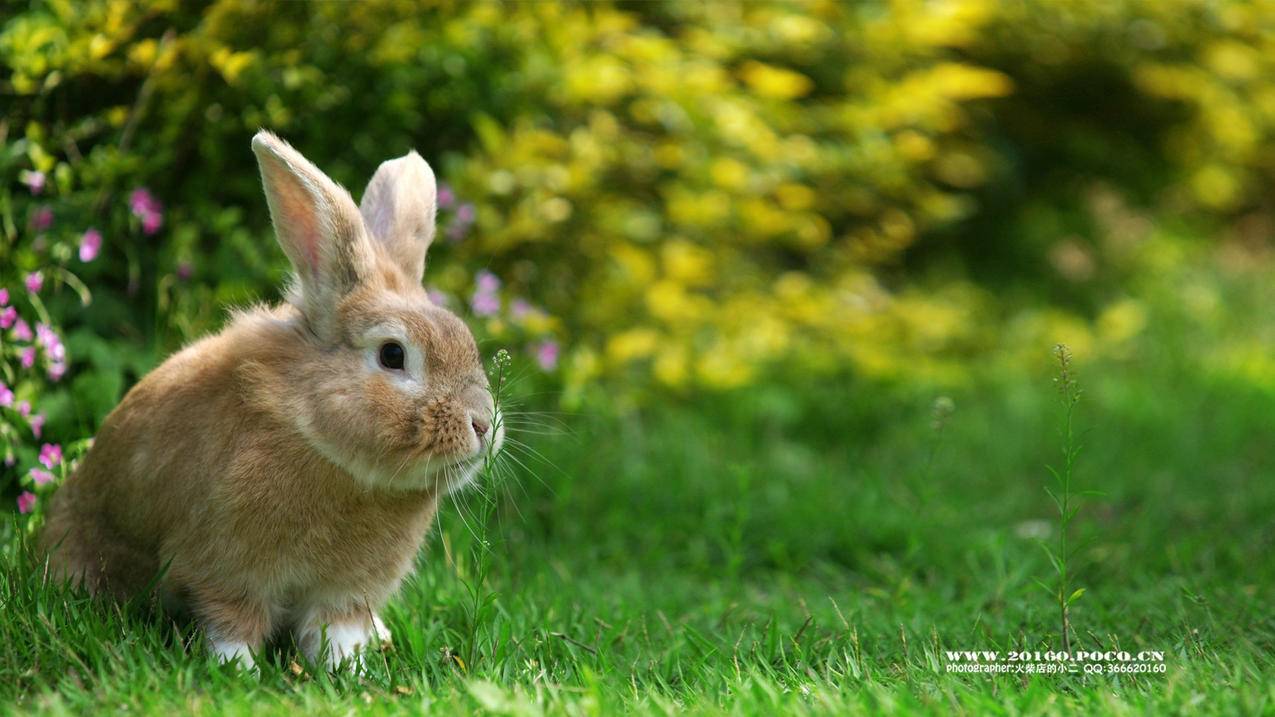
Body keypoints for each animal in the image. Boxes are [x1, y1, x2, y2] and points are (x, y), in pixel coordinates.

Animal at [38, 129, 502, 668]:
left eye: (465, 339)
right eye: (392, 354)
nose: (482, 424)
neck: (331, 456)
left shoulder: (344, 593)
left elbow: (336, 631)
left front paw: (349, 668)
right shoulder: (224, 568)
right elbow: (232, 624)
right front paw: (236, 670)